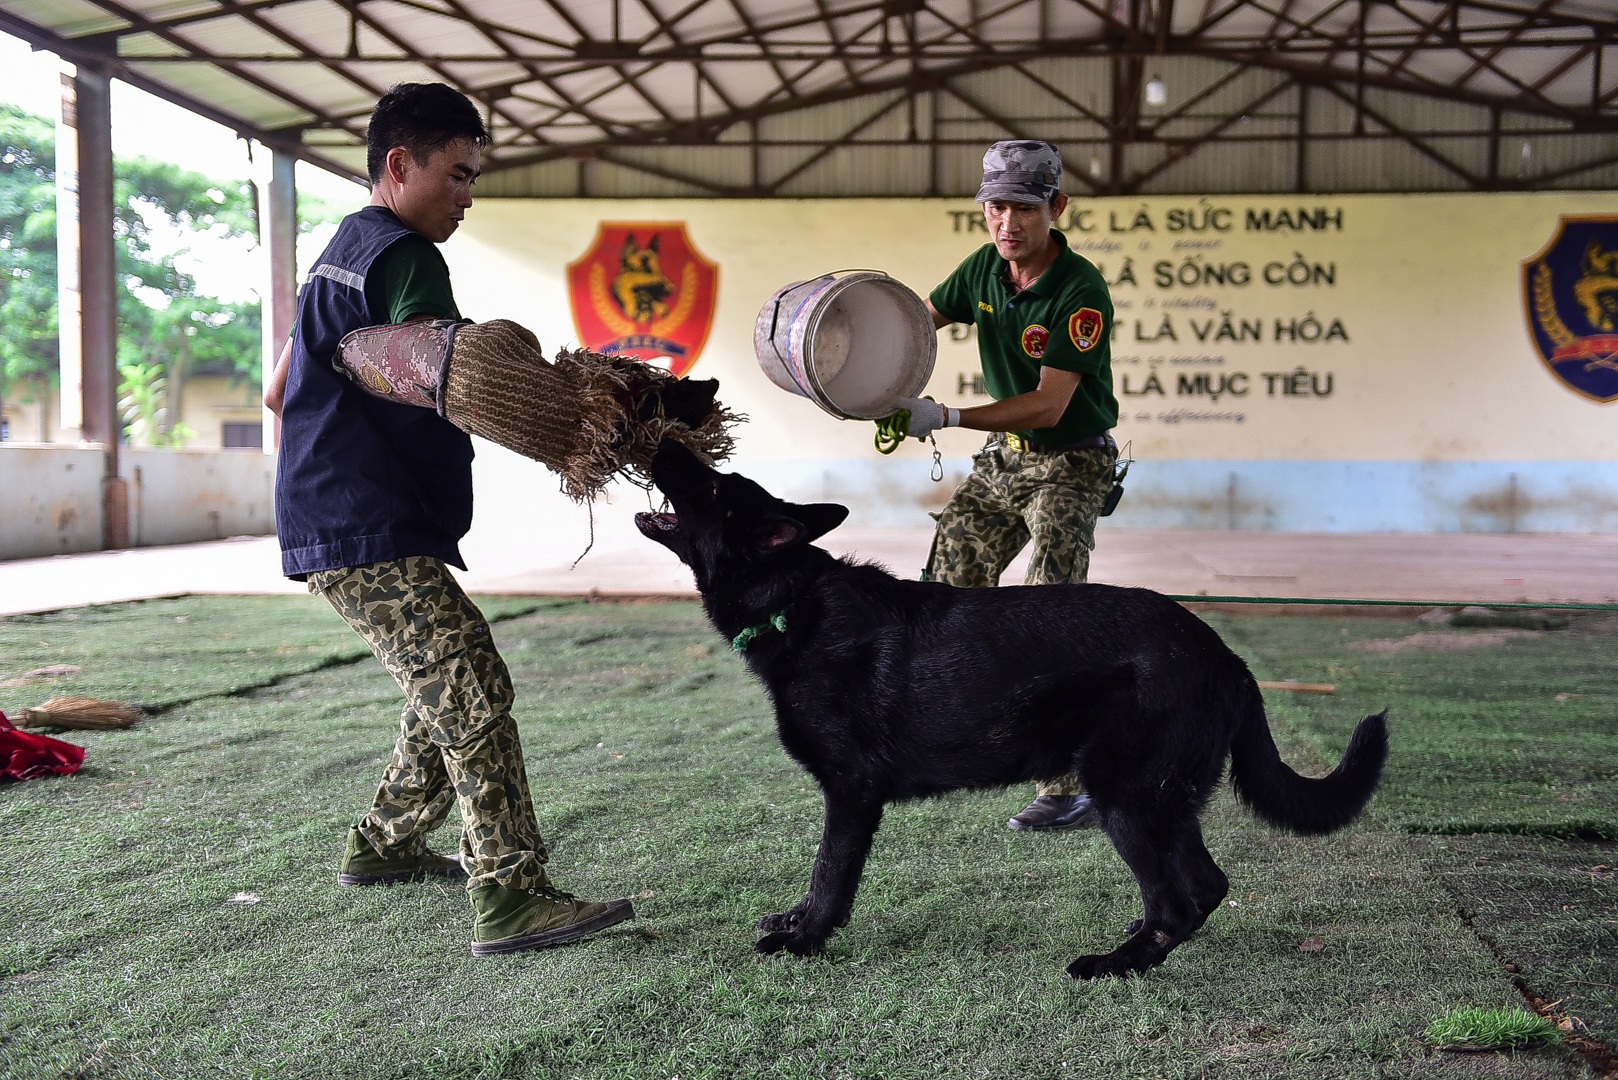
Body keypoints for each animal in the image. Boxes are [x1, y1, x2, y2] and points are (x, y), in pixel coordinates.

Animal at [637, 440, 1385, 977]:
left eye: (711, 486)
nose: (662, 438)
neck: (793, 598)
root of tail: (1223, 655)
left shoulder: (851, 792)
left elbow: (831, 871)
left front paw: (807, 939)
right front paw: (795, 923)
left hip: (1126, 799)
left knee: (1177, 898)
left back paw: (1116, 965)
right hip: (1163, 802)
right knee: (1205, 886)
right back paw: (1139, 940)